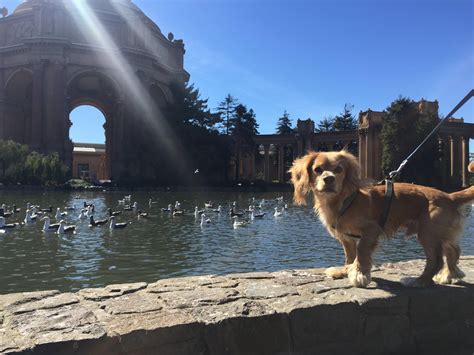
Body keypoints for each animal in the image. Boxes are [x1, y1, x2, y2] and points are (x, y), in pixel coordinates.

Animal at [288, 152, 474, 288]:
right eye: (318, 169)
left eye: (339, 169)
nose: (329, 179)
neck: (342, 201)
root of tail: (449, 196)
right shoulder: (346, 238)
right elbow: (349, 255)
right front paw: (345, 270)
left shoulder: (371, 231)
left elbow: (361, 251)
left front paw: (360, 275)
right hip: (442, 233)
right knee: (453, 251)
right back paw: (450, 275)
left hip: (427, 233)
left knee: (436, 260)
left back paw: (419, 281)